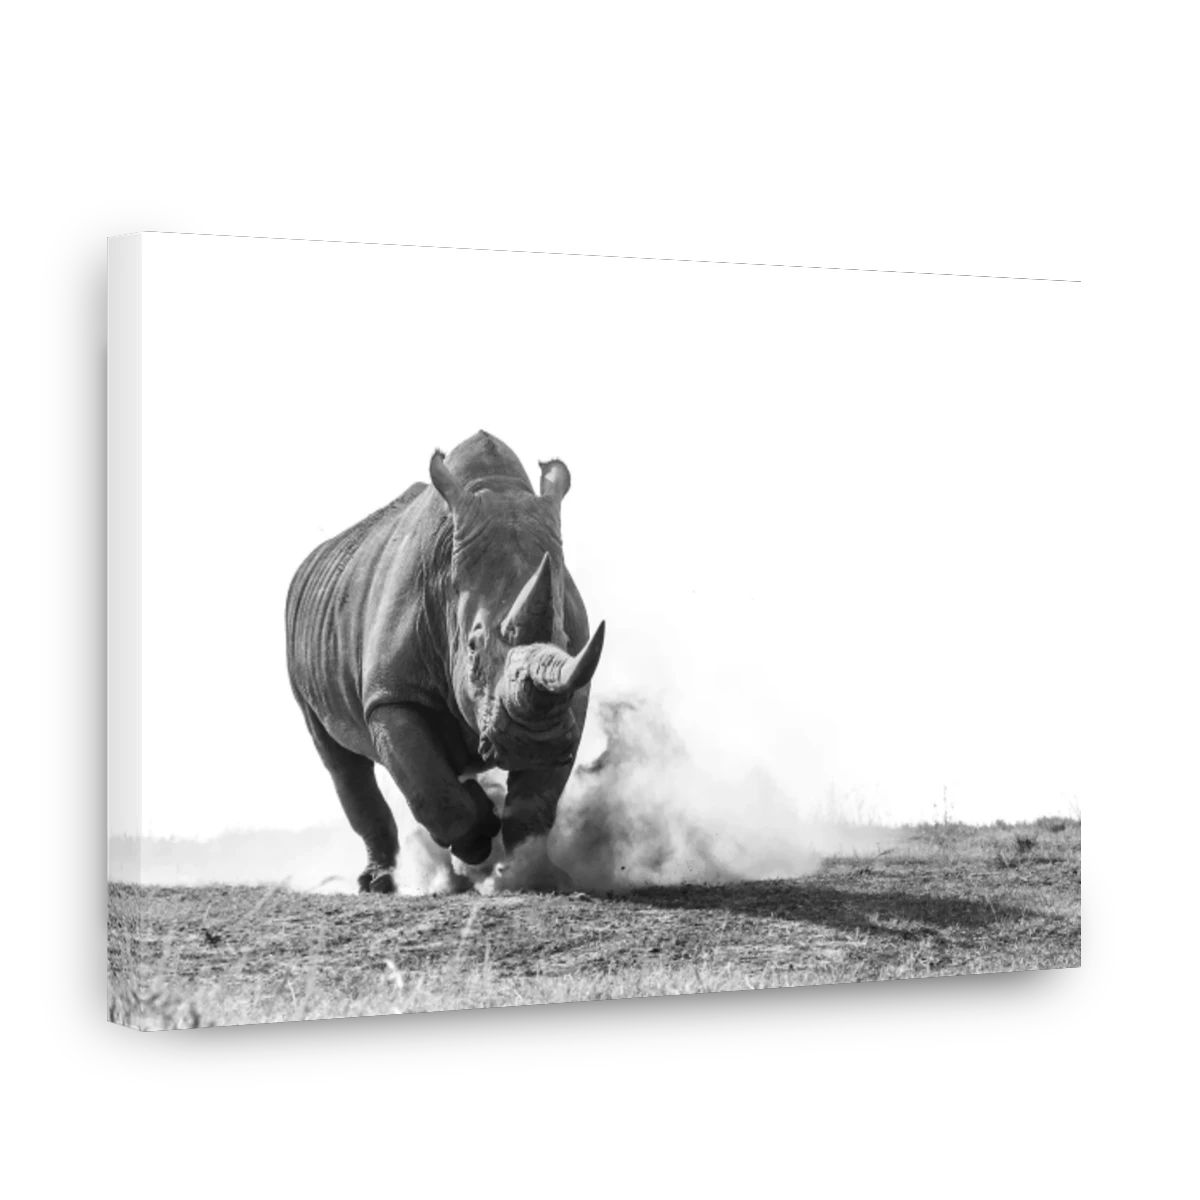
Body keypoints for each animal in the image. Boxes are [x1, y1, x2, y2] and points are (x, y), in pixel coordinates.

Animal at [285, 430, 605, 894]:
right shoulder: (391, 693)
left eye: (565, 641)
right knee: (342, 762)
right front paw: (478, 837)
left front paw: (539, 877)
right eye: (472, 646)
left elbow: (537, 799)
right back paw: (381, 883)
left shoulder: (571, 695)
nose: (533, 742)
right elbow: (429, 789)